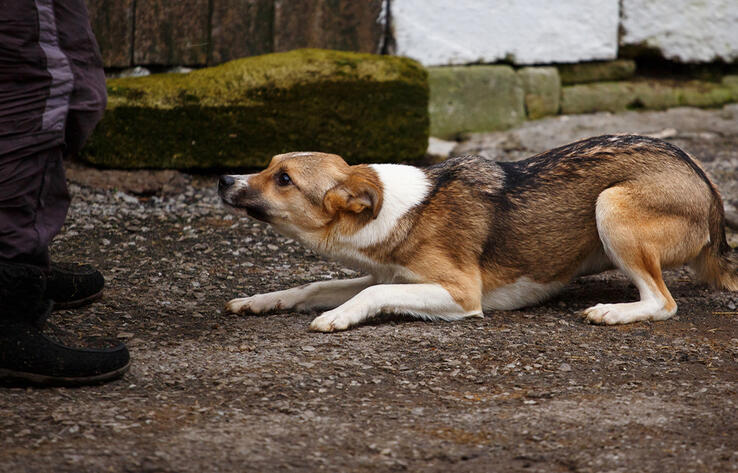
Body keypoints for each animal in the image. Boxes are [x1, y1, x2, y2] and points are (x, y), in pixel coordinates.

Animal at [217, 134, 736, 332]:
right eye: (268, 165)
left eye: (285, 180)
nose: (222, 179)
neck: (401, 209)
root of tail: (712, 196)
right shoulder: (388, 274)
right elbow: (313, 286)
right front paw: (260, 301)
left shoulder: (462, 293)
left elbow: (368, 294)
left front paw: (338, 317)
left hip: (611, 205)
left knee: (663, 302)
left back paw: (614, 311)